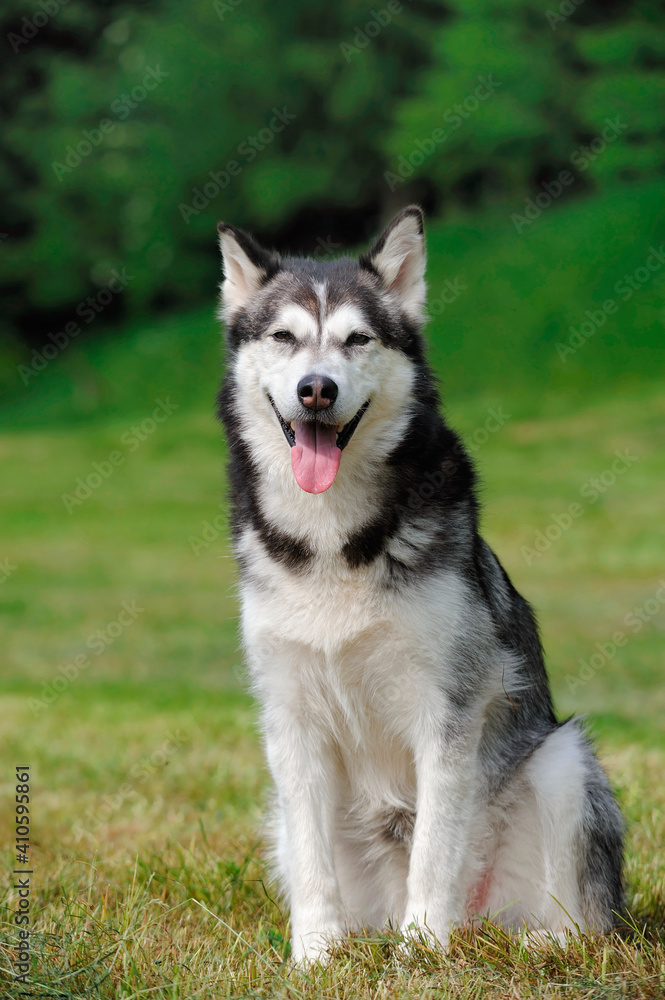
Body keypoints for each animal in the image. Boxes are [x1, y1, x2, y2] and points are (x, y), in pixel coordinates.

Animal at [217, 207, 624, 964]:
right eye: (284, 337)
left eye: (358, 339)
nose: (316, 388)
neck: (332, 537)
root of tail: (483, 921)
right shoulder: (290, 718)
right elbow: (313, 864)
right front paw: (313, 956)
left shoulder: (448, 710)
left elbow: (434, 847)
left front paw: (420, 952)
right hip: (284, 820)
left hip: (563, 762)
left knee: (584, 927)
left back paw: (518, 945)